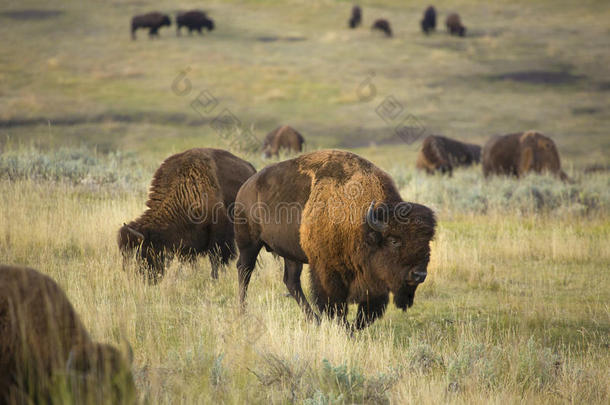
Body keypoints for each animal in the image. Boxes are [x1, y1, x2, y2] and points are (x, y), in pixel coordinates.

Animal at [117, 147, 255, 282]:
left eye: (141, 253)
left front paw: (214, 280)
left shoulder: (219, 235)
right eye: (123, 254)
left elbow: (216, 260)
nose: (143, 279)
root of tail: (251, 169)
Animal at [234, 148, 436, 328]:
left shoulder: (373, 282)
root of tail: (247, 186)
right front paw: (342, 327)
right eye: (394, 241)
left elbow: (366, 314)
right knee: (245, 271)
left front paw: (351, 329)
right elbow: (335, 305)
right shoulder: (327, 271)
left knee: (291, 281)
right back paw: (243, 312)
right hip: (249, 245)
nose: (419, 274)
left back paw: (314, 320)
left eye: (426, 243)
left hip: (290, 254)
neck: (363, 224)